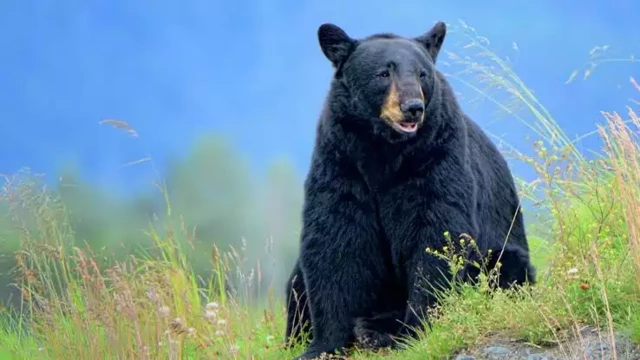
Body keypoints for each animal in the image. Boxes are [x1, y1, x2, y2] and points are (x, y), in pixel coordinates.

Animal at [284, 20, 536, 360]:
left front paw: (414, 330)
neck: (384, 150)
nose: (413, 108)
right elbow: (336, 239)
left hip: (502, 252)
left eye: (422, 73)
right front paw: (323, 344)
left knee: (503, 268)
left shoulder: (434, 158)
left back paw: (376, 329)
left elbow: (436, 236)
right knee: (296, 283)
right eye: (383, 73)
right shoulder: (341, 161)